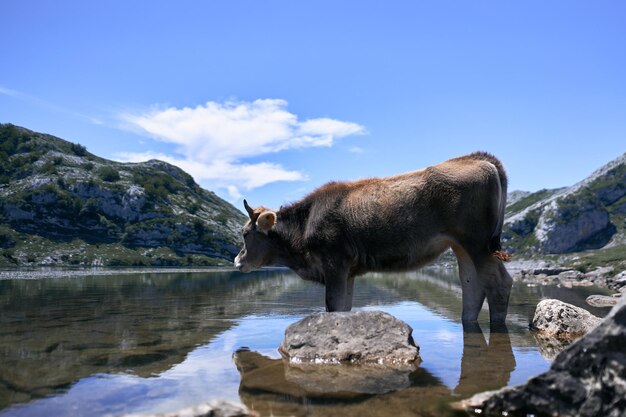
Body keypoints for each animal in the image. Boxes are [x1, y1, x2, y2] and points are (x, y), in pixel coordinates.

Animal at [232, 151, 510, 324]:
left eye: (245, 233)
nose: (237, 261)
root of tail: (477, 157)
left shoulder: (334, 263)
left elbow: (332, 305)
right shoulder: (348, 272)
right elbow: (343, 307)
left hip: (477, 243)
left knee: (498, 283)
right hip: (462, 246)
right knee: (472, 286)